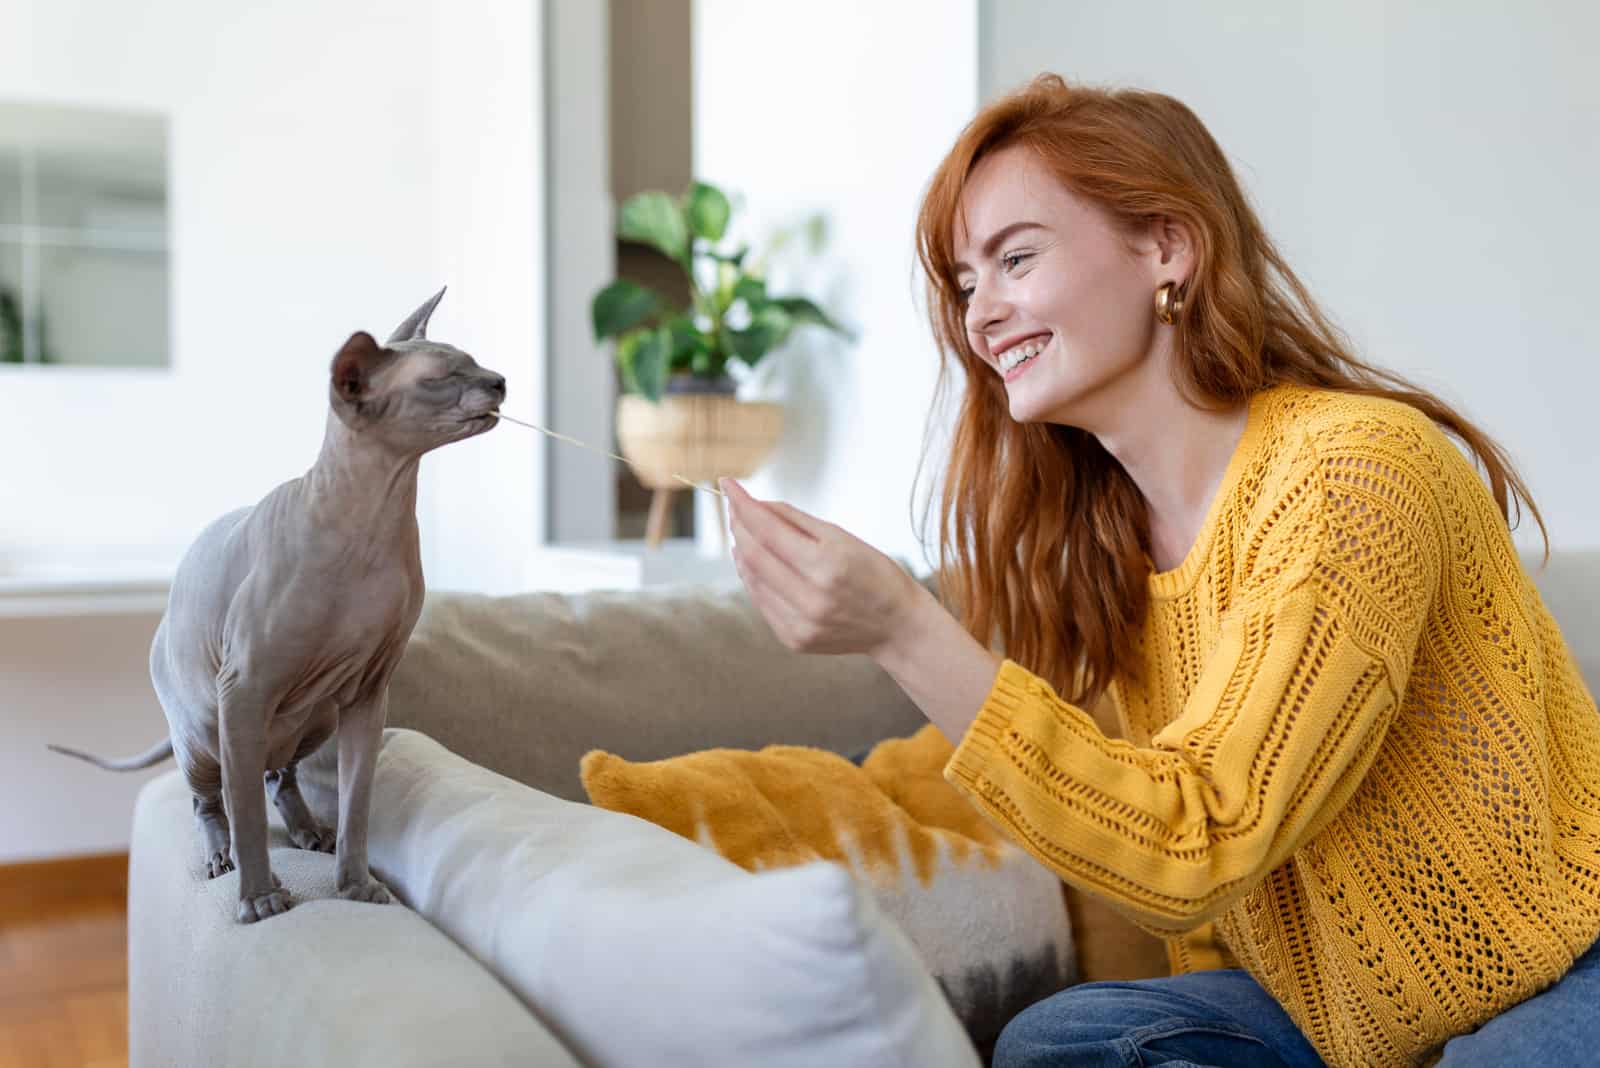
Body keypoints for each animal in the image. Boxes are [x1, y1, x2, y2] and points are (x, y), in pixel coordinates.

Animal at [50, 287, 502, 920]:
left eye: (475, 362)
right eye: (442, 378)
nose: (501, 382)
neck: (373, 521)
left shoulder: (369, 693)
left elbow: (357, 804)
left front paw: (355, 886)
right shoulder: (244, 687)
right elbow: (243, 814)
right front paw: (260, 899)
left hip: (313, 716)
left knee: (276, 775)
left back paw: (311, 830)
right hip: (205, 728)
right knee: (213, 796)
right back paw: (220, 857)